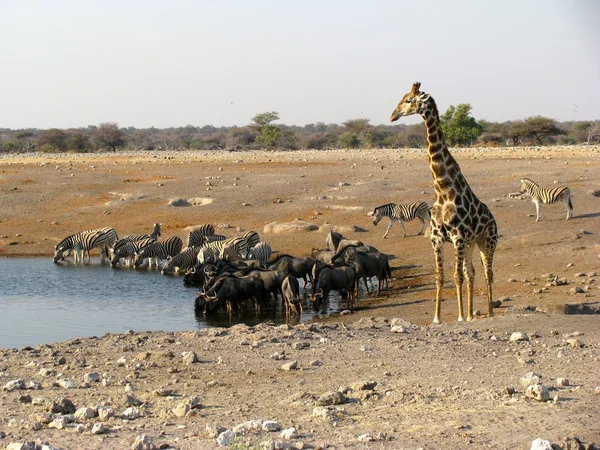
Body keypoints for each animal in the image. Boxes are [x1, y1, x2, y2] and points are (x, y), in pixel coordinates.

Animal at [390, 81, 496, 324]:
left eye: (409, 100)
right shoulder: (437, 239)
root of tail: (494, 219)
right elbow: (441, 276)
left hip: (487, 241)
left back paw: (489, 312)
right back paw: (471, 314)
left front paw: (459, 317)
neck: (444, 191)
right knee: (472, 272)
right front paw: (438, 318)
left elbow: (456, 277)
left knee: (488, 273)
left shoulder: (457, 238)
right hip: (471, 244)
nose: (392, 116)